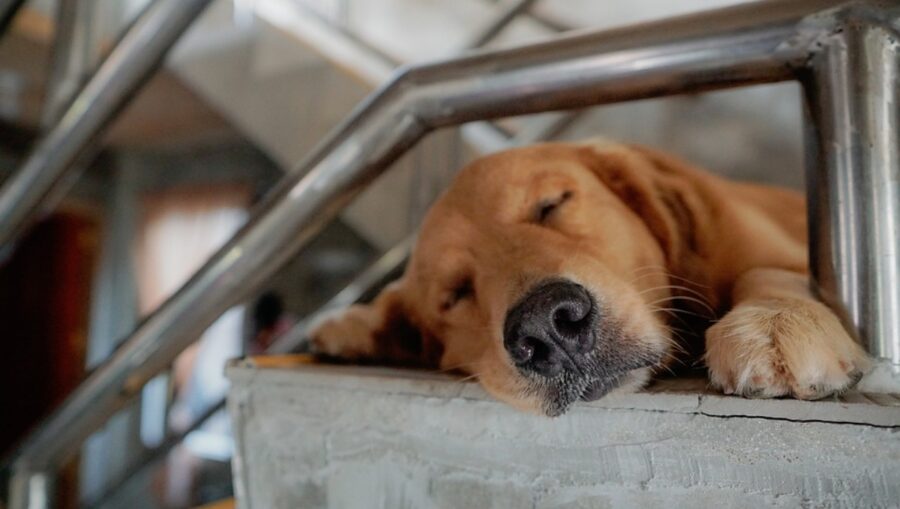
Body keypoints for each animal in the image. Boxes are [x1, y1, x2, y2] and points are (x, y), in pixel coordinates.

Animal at [312, 140, 872, 416]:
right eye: (455, 293)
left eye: (552, 204)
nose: (546, 327)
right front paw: (354, 325)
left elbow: (765, 269)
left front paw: (775, 321)